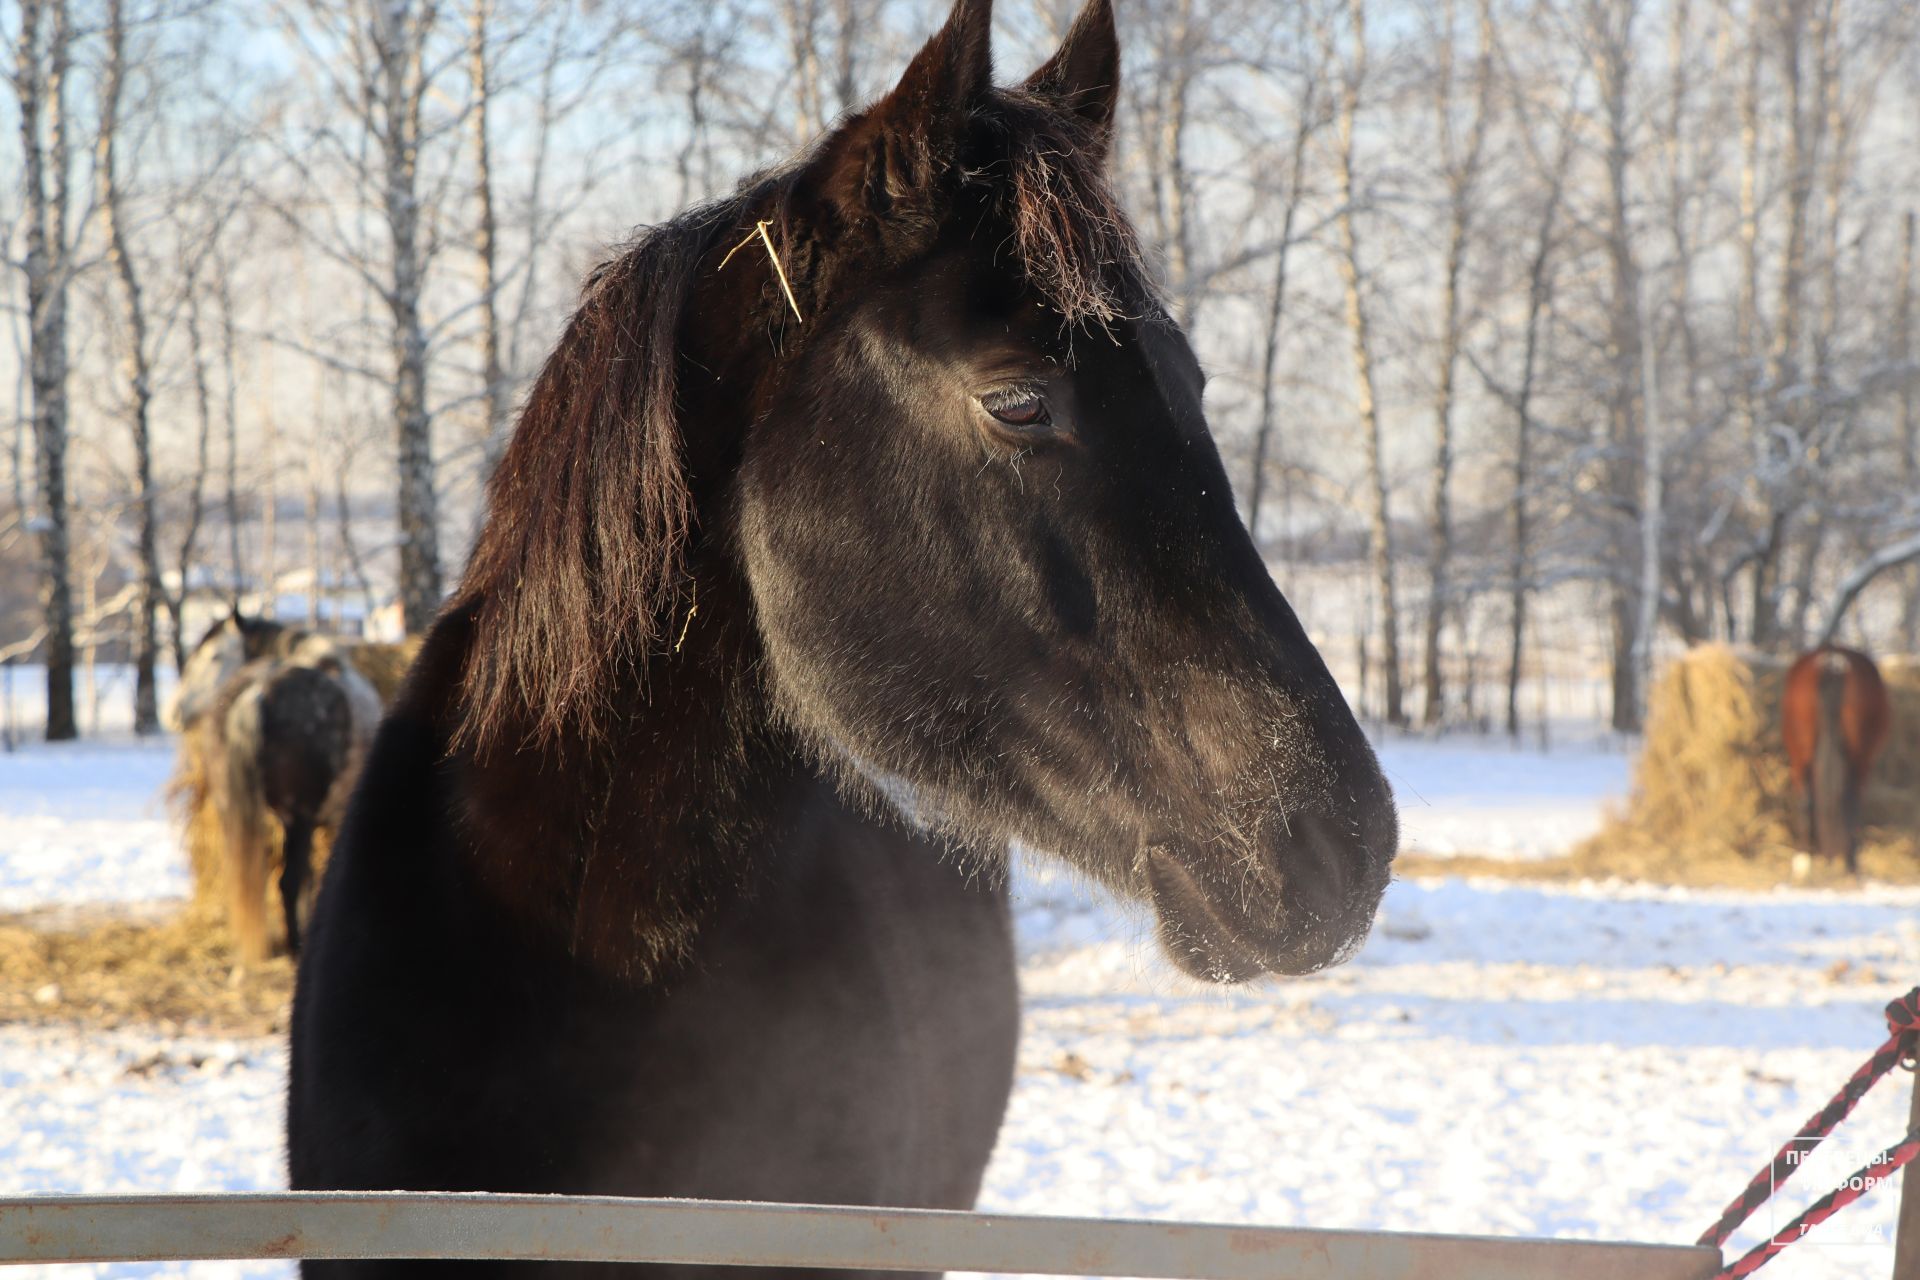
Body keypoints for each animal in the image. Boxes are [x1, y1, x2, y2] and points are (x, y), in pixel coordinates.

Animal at [166, 616, 384, 962]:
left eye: (214, 656)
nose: (173, 712)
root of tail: (256, 693)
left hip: (235, 810)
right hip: (299, 814)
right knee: (287, 881)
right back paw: (295, 947)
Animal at [1782, 645, 1890, 874]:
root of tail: (1832, 662)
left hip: (1801, 754)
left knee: (1806, 800)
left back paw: (1804, 863)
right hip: (1859, 760)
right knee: (1851, 800)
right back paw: (1850, 862)